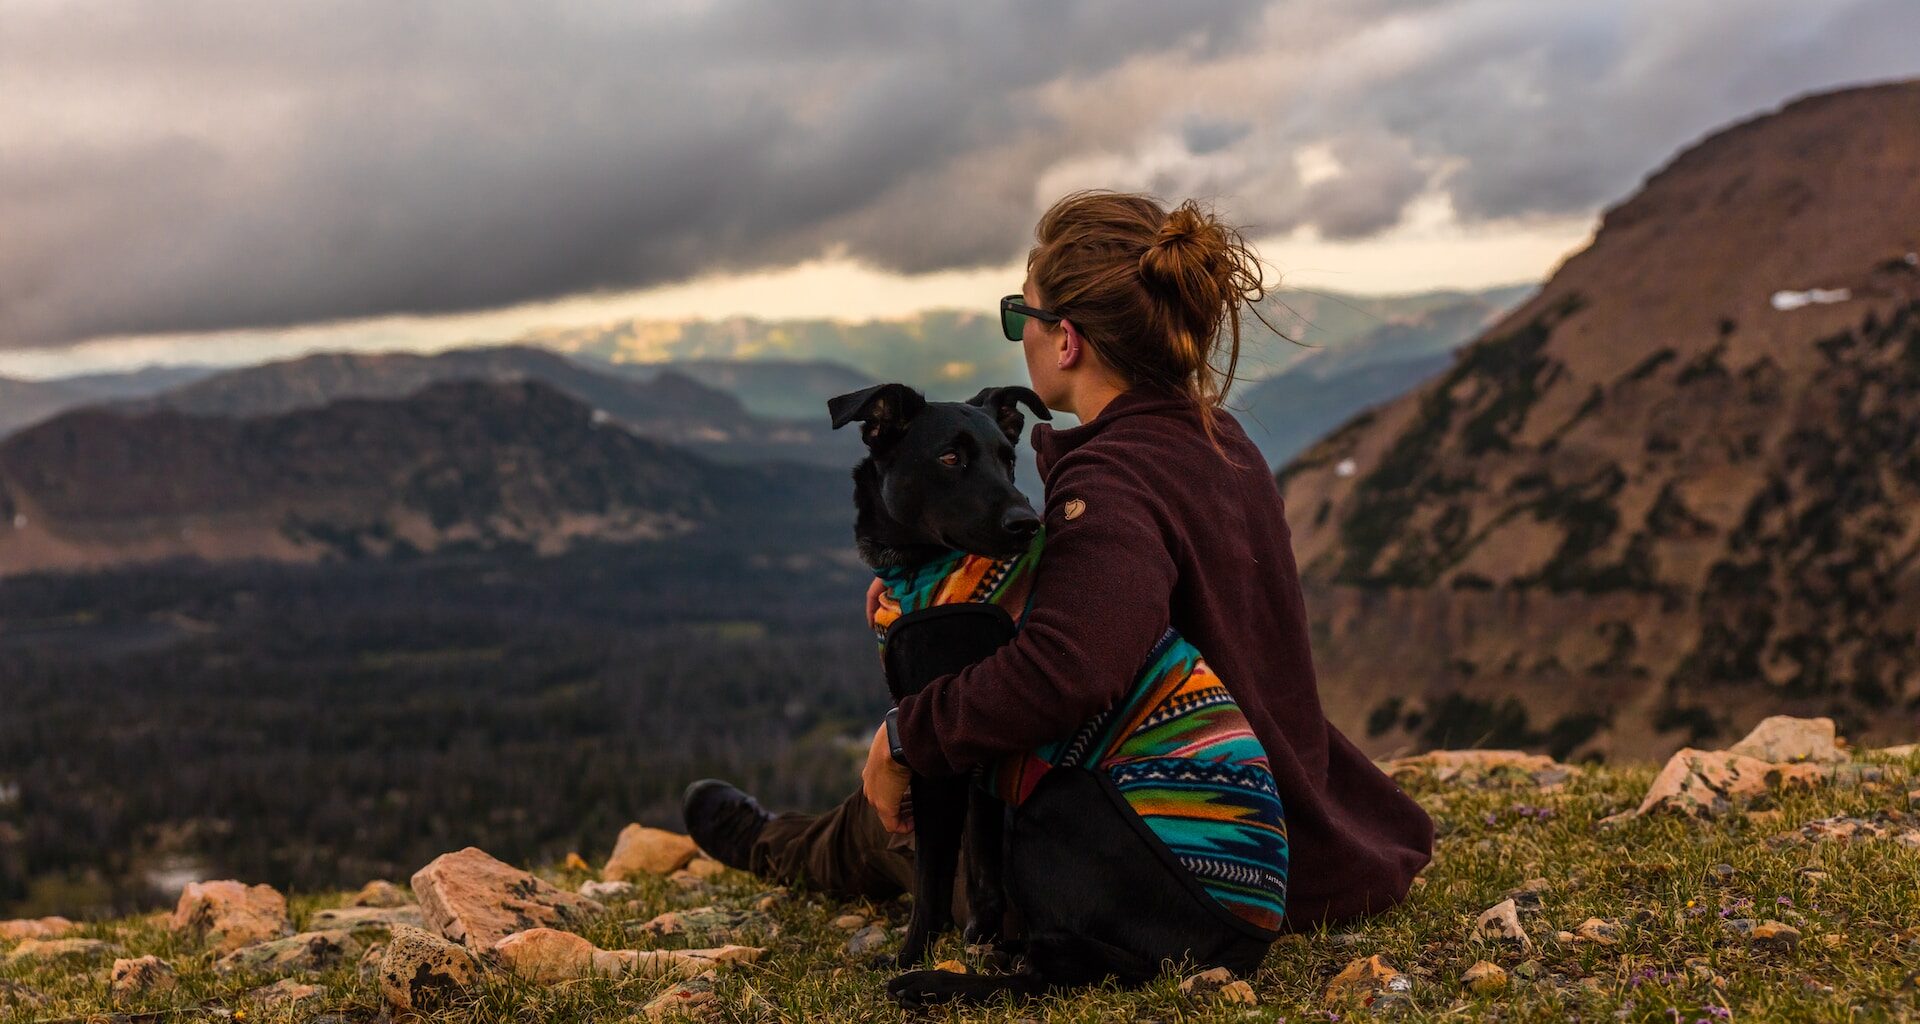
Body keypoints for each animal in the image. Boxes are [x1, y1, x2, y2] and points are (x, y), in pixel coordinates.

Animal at [833, 378, 1282, 999]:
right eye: (950, 458)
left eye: (1007, 458)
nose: (1026, 523)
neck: (923, 568)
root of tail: (1245, 944)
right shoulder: (976, 756)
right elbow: (983, 869)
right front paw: (982, 939)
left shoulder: (935, 745)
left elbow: (932, 878)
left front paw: (908, 956)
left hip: (1058, 799)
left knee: (1069, 971)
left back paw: (935, 983)